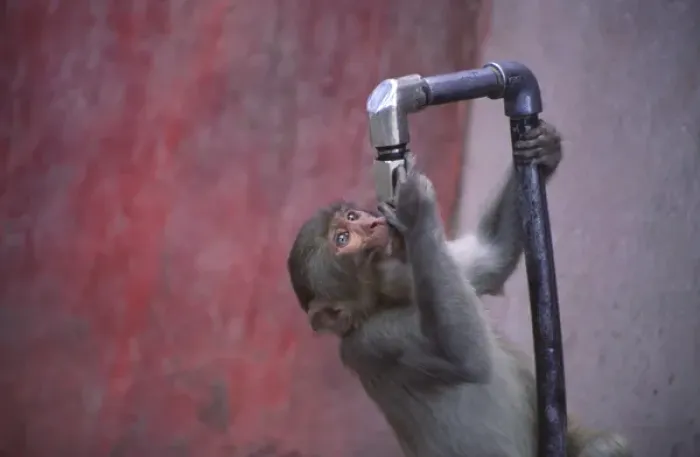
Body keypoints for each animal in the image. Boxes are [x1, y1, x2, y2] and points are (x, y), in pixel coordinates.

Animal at [287, 121, 630, 457]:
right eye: (343, 239)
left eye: (352, 217)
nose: (373, 224)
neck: (389, 298)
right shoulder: (372, 341)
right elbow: (465, 357)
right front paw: (416, 208)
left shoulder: (432, 262)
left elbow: (491, 255)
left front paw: (544, 148)